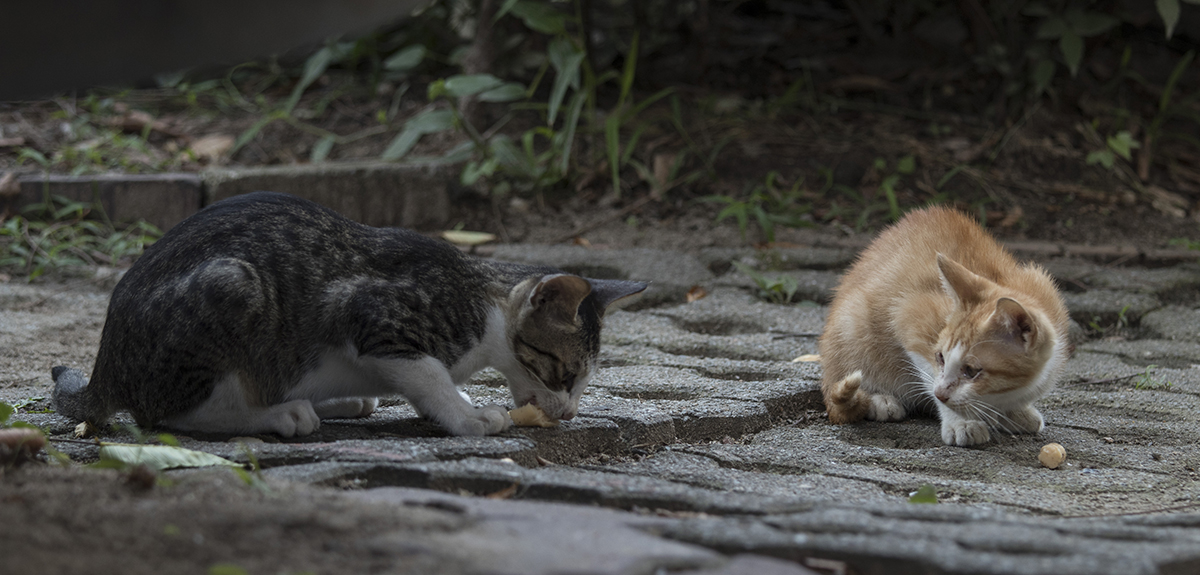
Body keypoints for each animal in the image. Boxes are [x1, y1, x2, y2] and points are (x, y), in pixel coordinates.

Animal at [50, 190, 648, 439]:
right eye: (564, 372)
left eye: (583, 381)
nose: (568, 413)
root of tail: (106, 363)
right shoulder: (375, 316)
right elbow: (427, 372)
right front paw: (465, 415)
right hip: (231, 284)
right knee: (168, 414)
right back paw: (278, 414)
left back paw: (342, 400)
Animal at [820, 205, 1065, 448]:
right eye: (940, 357)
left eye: (971, 371)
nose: (939, 394)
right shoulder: (910, 316)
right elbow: (930, 376)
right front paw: (960, 422)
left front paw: (1012, 411)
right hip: (852, 323)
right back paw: (880, 399)